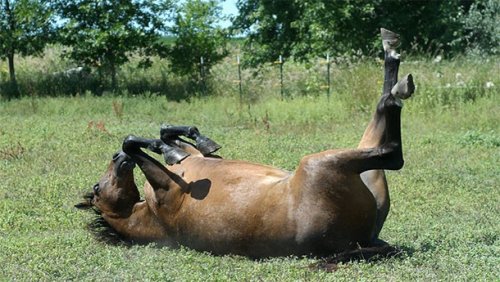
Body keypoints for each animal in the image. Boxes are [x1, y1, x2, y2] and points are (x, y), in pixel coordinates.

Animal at [77, 29, 414, 260]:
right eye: (97, 188)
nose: (116, 158)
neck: (146, 214)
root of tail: (361, 241)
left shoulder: (193, 160)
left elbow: (165, 135)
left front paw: (194, 141)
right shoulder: (167, 189)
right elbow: (138, 142)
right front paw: (161, 149)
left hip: (363, 175)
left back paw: (391, 56)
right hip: (321, 163)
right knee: (392, 153)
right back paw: (396, 81)